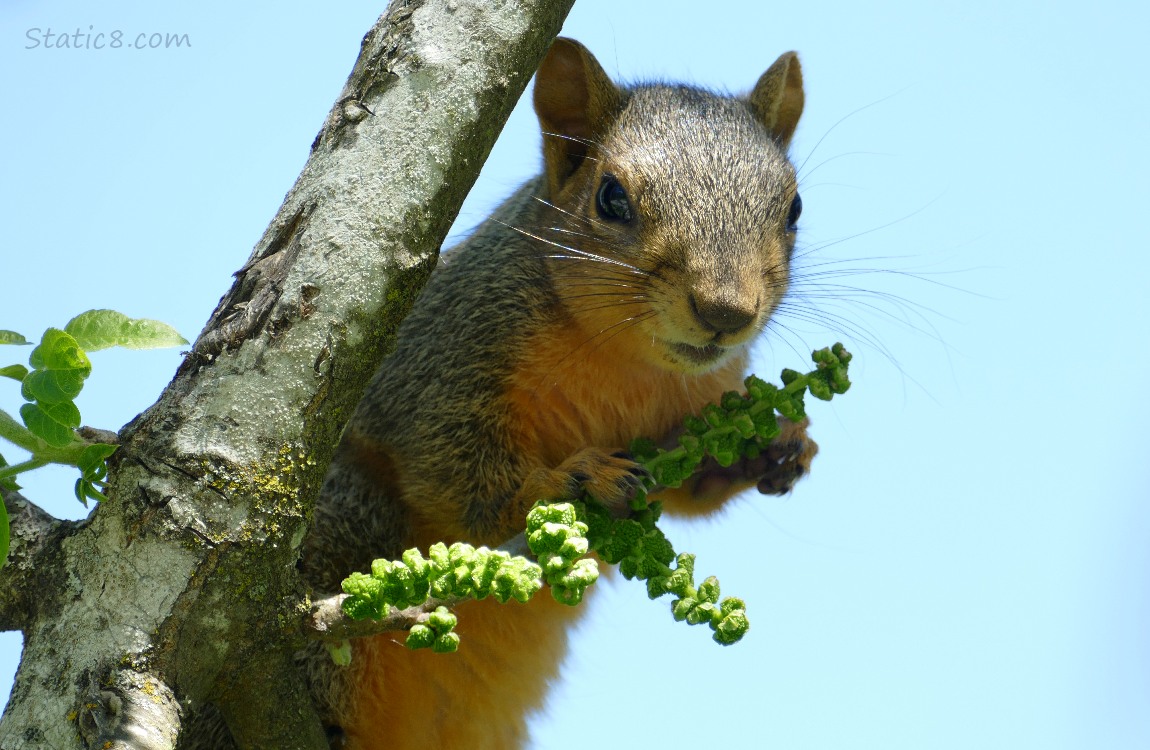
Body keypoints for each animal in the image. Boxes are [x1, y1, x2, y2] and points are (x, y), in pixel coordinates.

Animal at [299, 37, 813, 750]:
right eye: (611, 198)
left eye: (794, 208)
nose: (724, 313)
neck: (627, 360)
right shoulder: (437, 360)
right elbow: (452, 468)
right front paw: (568, 483)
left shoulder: (701, 399)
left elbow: (689, 492)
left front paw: (768, 446)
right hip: (346, 522)